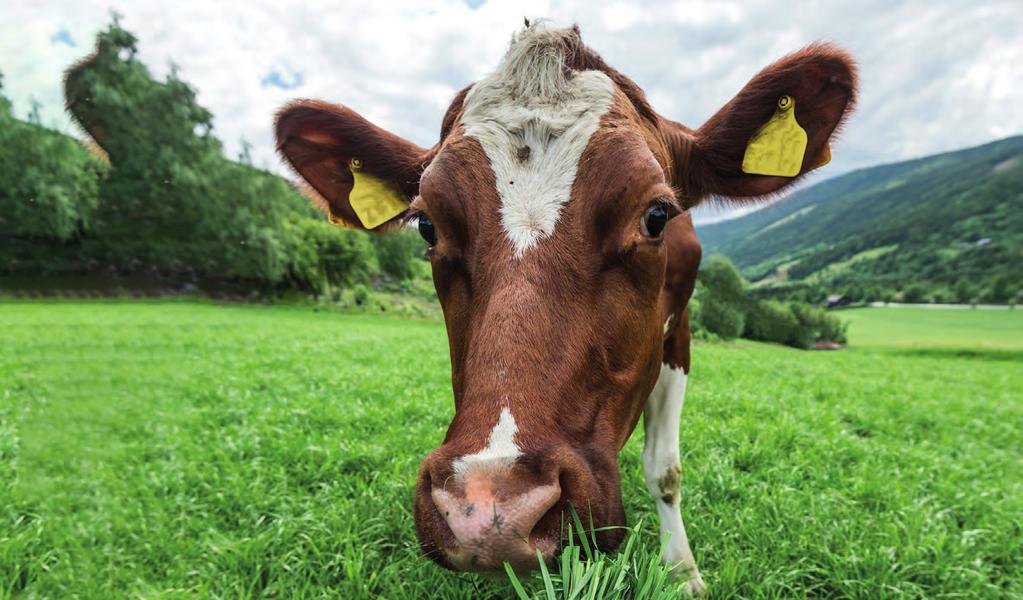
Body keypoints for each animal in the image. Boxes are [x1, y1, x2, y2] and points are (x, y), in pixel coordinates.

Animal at [274, 22, 855, 596]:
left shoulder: (679, 334)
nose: (491, 512)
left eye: (656, 215)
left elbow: (665, 470)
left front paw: (683, 571)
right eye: (427, 225)